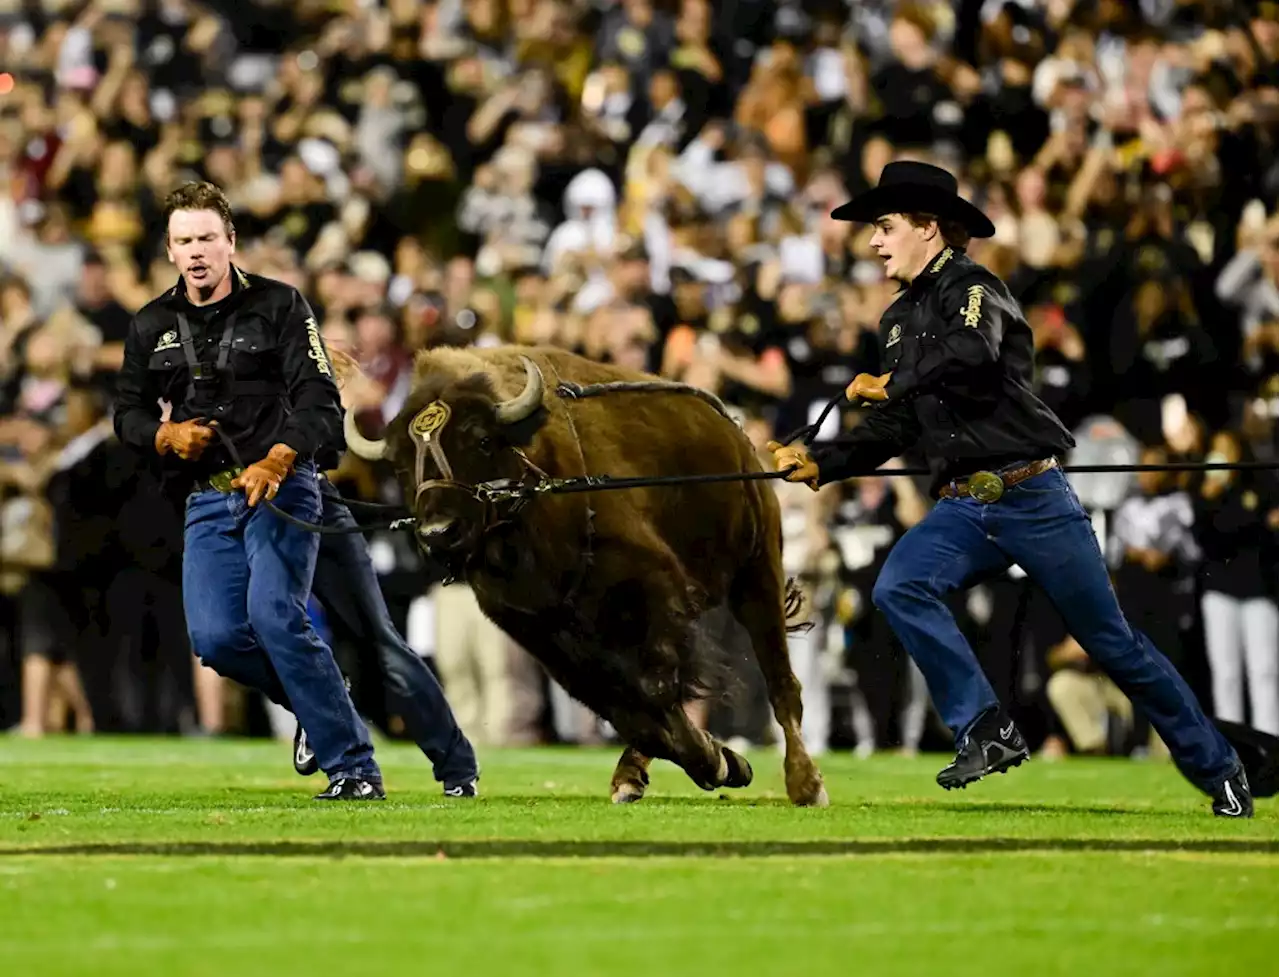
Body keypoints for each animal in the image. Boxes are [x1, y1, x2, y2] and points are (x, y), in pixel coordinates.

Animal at [343, 348, 829, 804]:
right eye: (400, 464)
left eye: (480, 440)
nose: (438, 533)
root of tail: (734, 432)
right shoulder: (541, 632)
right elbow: (625, 708)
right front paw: (718, 760)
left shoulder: (653, 592)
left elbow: (656, 691)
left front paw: (722, 762)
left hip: (757, 569)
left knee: (781, 680)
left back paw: (806, 784)